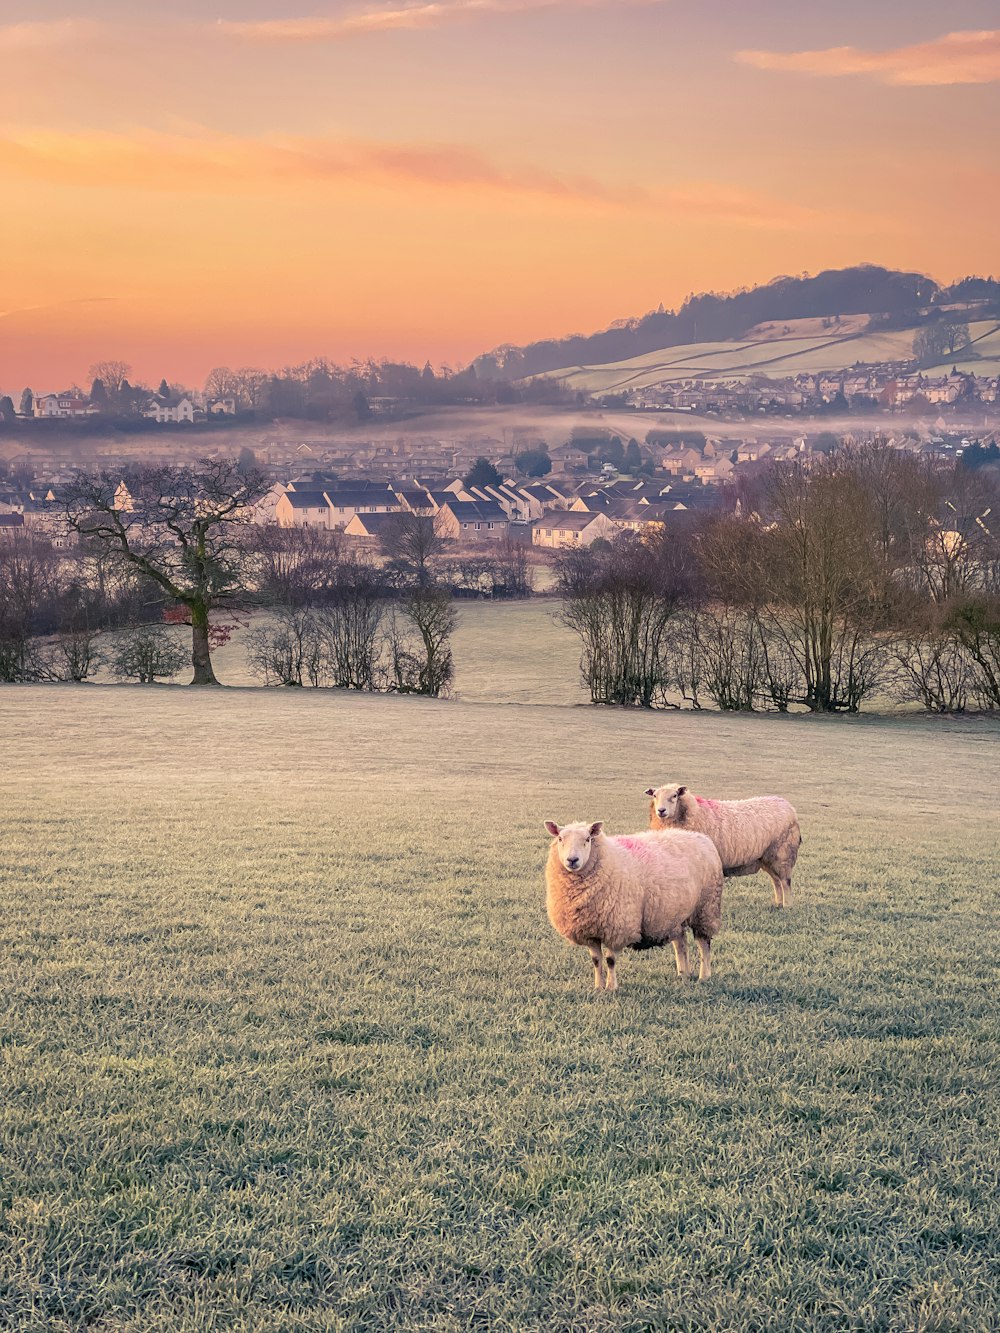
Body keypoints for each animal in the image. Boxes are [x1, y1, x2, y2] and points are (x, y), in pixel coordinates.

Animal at [544, 815, 725, 997]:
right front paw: (598, 987)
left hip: (705, 908)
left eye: (587, 839)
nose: (572, 860)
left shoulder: (617, 927)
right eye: (560, 839)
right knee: (681, 943)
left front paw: (612, 987)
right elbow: (596, 961)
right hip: (675, 914)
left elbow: (610, 960)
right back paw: (683, 974)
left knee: (703, 944)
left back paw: (704, 976)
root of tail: (701, 837)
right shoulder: (590, 931)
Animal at [645, 778, 805, 906]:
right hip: (767, 857)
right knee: (776, 880)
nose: (661, 811)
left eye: (674, 795)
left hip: (783, 852)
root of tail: (789, 806)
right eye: (654, 795)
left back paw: (787, 905)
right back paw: (777, 903)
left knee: (785, 881)